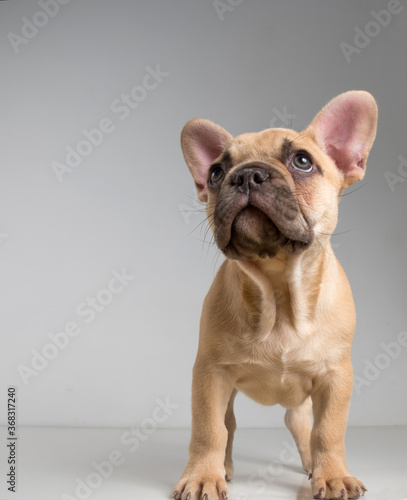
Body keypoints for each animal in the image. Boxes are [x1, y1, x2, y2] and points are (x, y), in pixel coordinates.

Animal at [172, 91, 380, 500]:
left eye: (302, 161)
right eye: (216, 173)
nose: (246, 175)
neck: (279, 287)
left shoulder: (335, 377)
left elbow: (328, 430)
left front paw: (332, 475)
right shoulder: (209, 376)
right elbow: (209, 429)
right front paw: (203, 476)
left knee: (300, 423)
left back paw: (314, 466)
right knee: (229, 425)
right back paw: (224, 467)